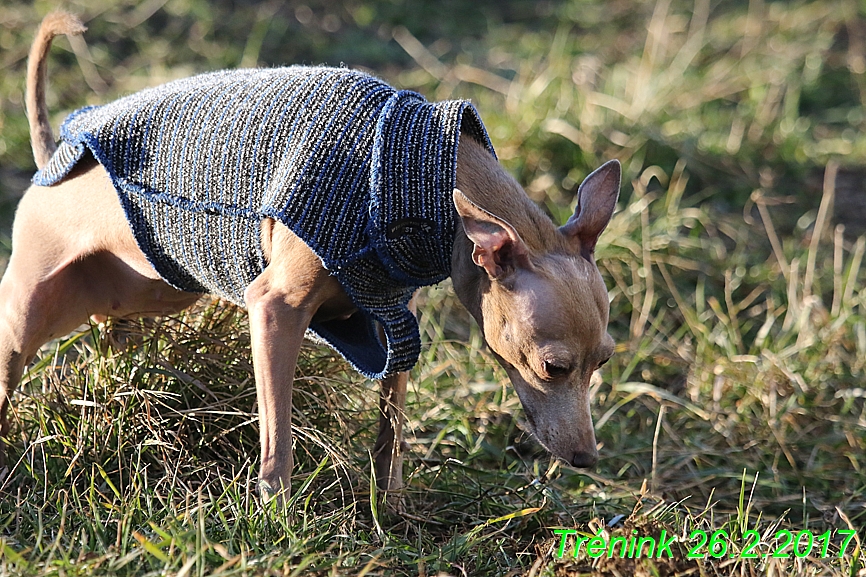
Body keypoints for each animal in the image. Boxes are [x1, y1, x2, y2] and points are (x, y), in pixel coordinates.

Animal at [1, 12, 620, 500]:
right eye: (554, 367)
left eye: (605, 361)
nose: (588, 458)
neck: (422, 175)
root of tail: (52, 153)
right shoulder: (275, 307)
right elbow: (278, 439)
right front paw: (276, 514)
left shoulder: (396, 315)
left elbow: (391, 429)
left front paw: (391, 509)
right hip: (29, 311)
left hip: (150, 288)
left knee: (114, 328)